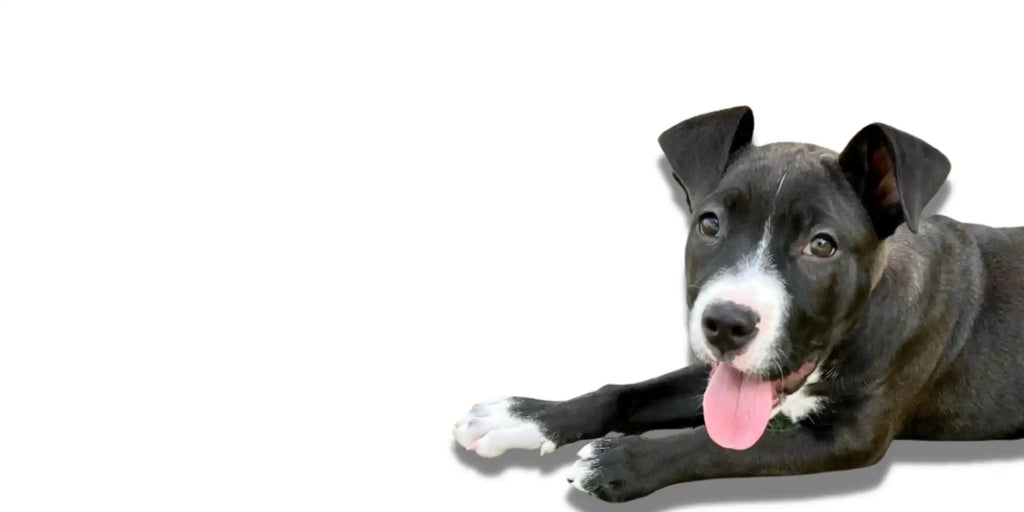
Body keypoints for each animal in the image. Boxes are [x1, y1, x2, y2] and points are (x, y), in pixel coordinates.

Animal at [450, 105, 1024, 501]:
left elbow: (720, 442)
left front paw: (619, 462)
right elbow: (628, 392)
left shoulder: (852, 437)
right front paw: (526, 416)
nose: (725, 324)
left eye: (822, 244)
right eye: (710, 224)